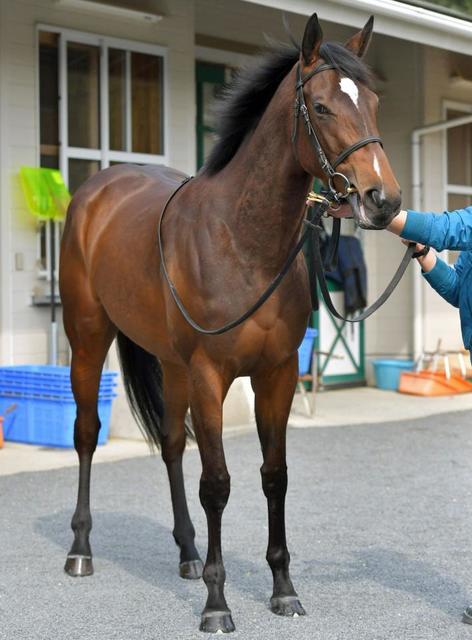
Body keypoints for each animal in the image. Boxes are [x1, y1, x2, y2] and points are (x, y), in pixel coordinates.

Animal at [60, 12, 402, 632]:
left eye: (372, 101)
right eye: (321, 107)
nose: (382, 199)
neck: (241, 242)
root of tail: (97, 191)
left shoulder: (277, 374)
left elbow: (275, 476)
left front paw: (284, 589)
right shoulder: (210, 376)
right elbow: (217, 483)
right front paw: (217, 605)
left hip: (170, 364)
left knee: (172, 444)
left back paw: (189, 554)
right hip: (89, 339)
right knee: (87, 434)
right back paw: (81, 550)